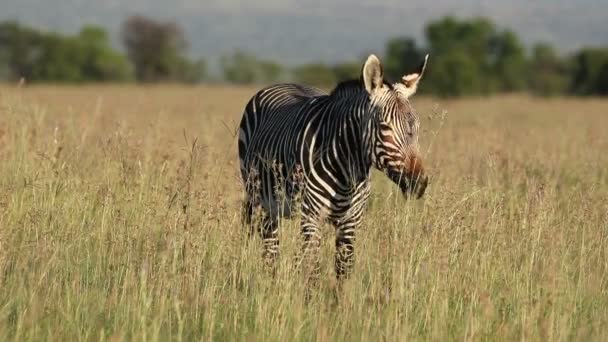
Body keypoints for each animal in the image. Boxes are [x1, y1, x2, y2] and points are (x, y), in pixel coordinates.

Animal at [236, 53, 428, 282]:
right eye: (384, 127)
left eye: (417, 127)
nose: (419, 183)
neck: (347, 172)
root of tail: (284, 83)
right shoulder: (312, 218)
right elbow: (312, 272)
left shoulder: (351, 223)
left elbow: (343, 273)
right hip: (262, 201)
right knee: (270, 251)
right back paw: (270, 285)